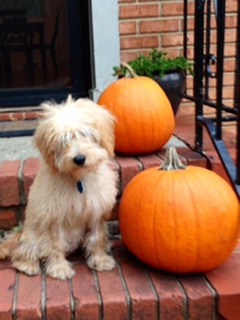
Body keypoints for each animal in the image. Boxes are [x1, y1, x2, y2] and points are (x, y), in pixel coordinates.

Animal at [0, 96, 118, 278]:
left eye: (85, 134)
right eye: (64, 140)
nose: (79, 159)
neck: (78, 180)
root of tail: (22, 231)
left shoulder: (96, 211)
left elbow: (97, 237)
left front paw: (100, 260)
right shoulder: (54, 217)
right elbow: (55, 245)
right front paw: (59, 268)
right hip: (33, 234)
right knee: (24, 250)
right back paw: (27, 265)